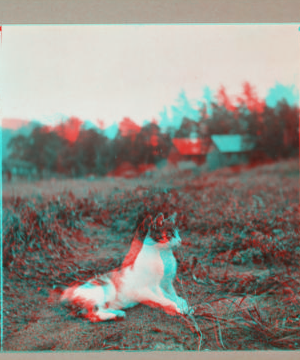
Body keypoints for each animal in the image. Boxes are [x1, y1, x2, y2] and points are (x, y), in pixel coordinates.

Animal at [60, 211, 192, 320]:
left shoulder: (167, 283)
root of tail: (70, 292)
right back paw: (112, 316)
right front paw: (177, 308)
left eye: (178, 234)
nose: (180, 241)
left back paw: (118, 313)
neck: (164, 256)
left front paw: (184, 306)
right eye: (171, 234)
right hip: (105, 290)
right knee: (92, 314)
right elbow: (164, 299)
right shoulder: (152, 287)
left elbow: (175, 296)